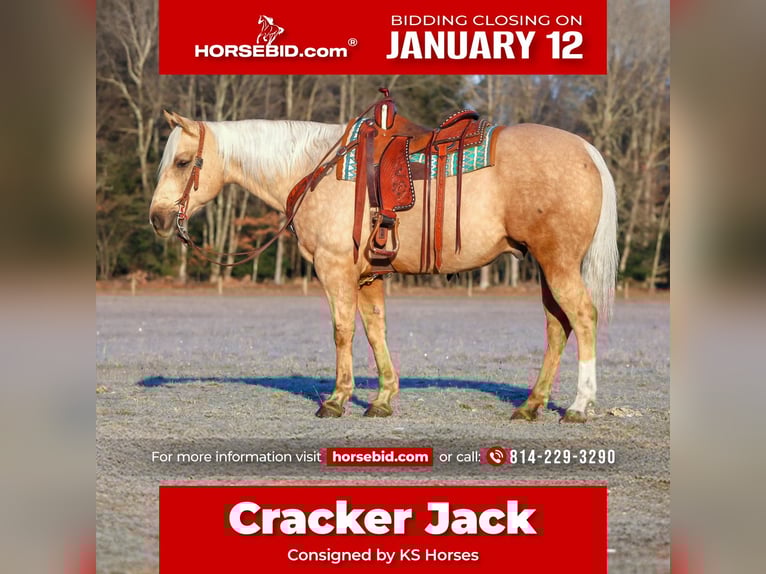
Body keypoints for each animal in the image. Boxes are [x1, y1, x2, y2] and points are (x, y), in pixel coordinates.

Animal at [149, 104, 618, 423]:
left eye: (183, 162)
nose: (157, 218)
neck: (314, 168)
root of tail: (586, 150)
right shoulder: (368, 276)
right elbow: (376, 330)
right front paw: (382, 398)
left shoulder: (335, 269)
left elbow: (343, 331)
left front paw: (337, 399)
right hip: (546, 267)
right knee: (557, 327)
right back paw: (531, 405)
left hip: (558, 264)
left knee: (583, 318)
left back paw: (580, 405)